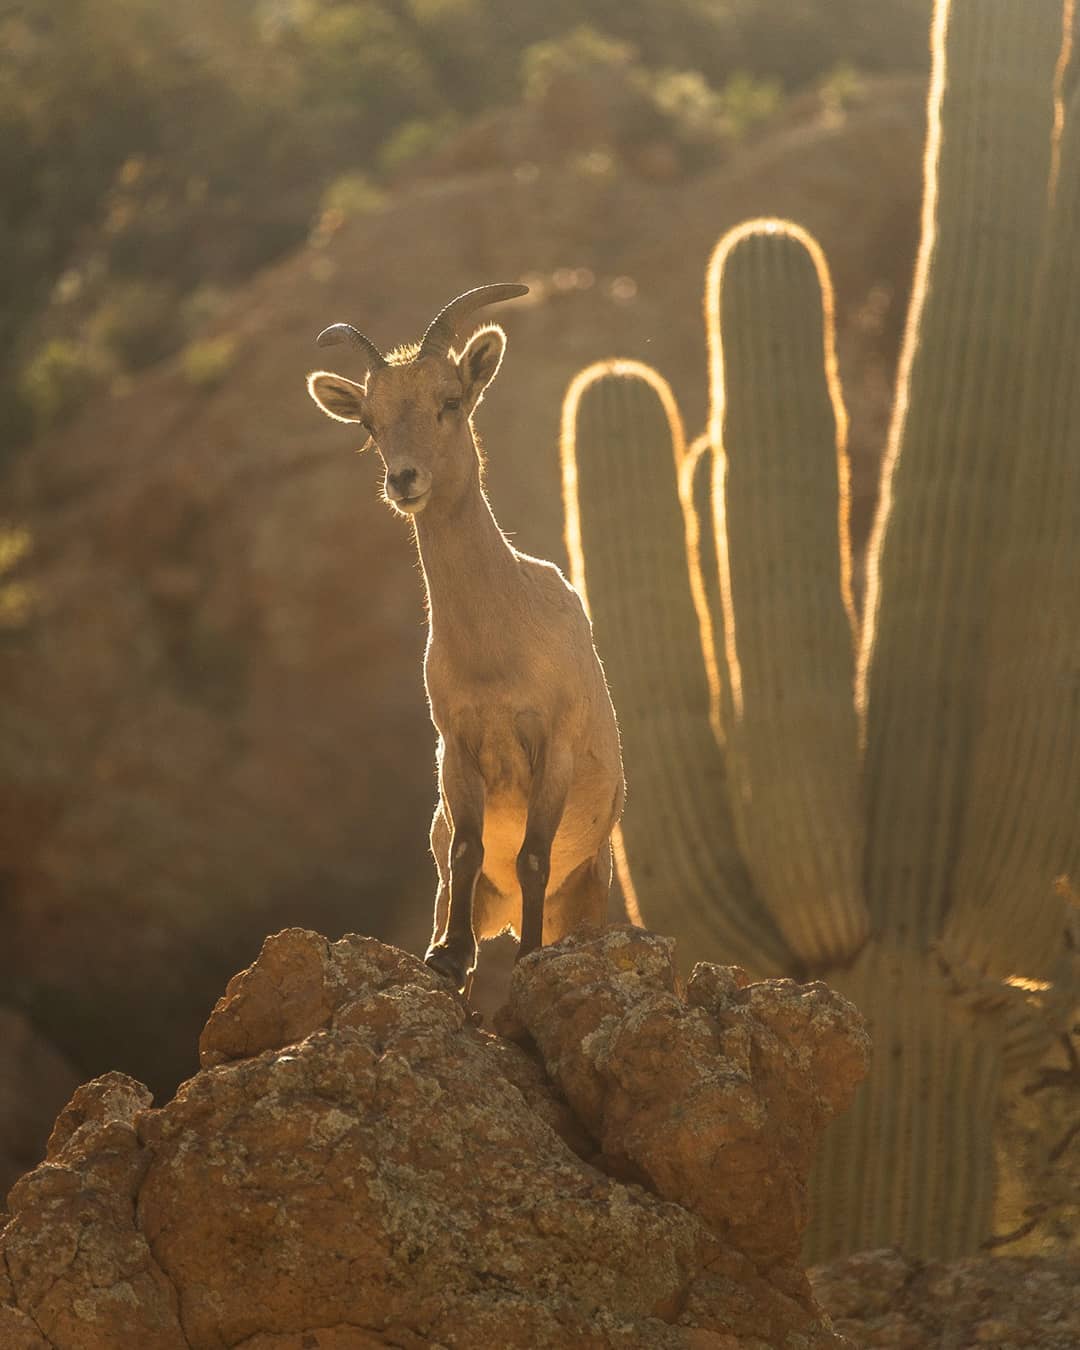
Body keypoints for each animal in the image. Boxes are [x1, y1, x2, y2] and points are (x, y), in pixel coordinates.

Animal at [303, 282, 623, 993]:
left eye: (450, 401)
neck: (499, 649)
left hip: (592, 884)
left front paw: (529, 954)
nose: (404, 480)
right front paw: (446, 957)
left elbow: (532, 856)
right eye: (369, 423)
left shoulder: (554, 745)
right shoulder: (458, 747)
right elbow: (468, 847)